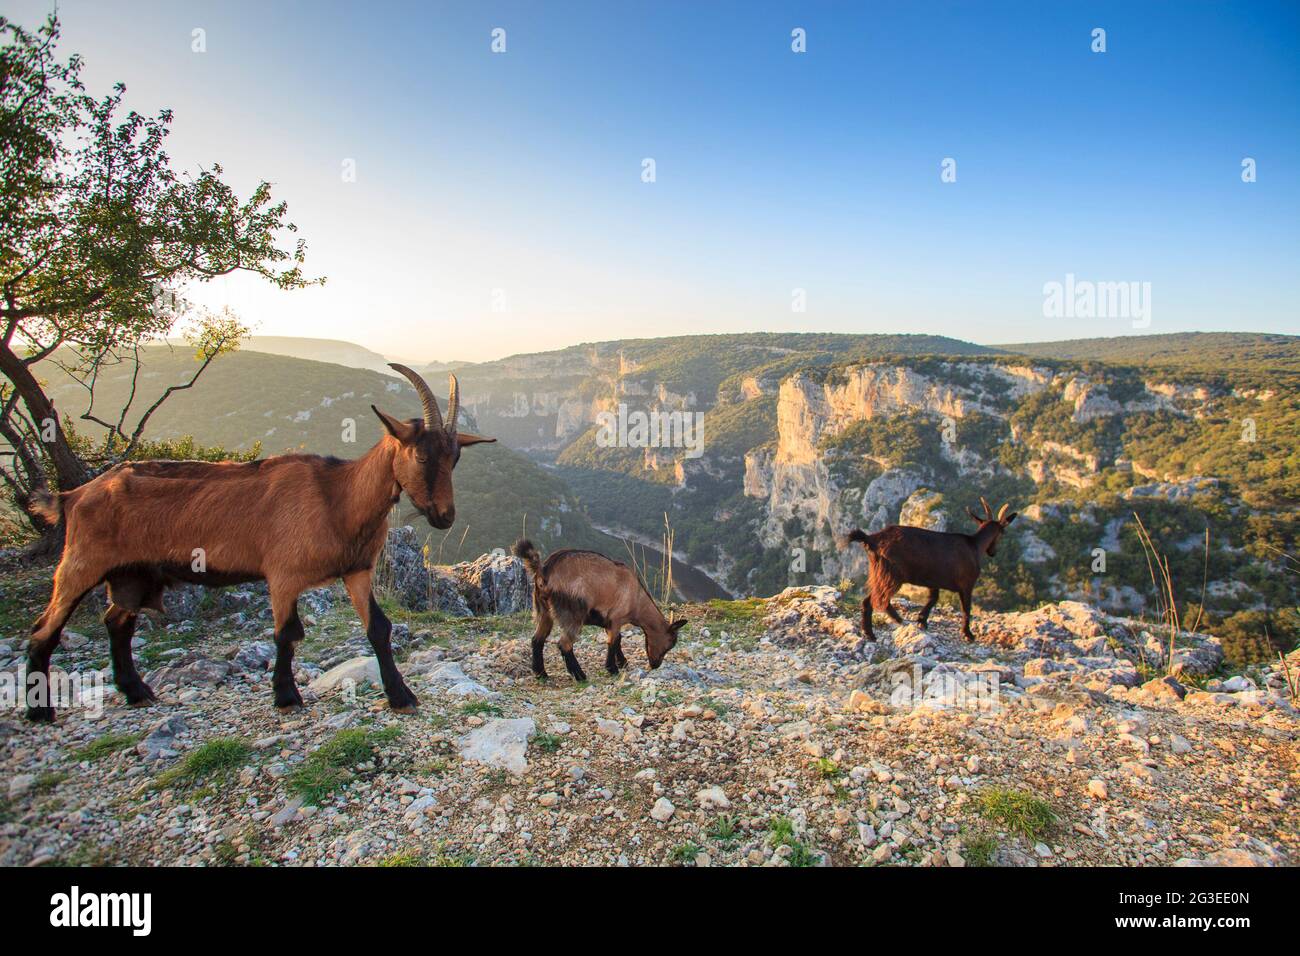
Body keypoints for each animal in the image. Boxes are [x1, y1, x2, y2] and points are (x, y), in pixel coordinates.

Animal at [25, 361, 491, 723]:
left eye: (455, 457)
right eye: (422, 454)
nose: (445, 516)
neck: (338, 498)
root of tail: (74, 495)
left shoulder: (357, 571)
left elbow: (378, 627)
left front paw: (401, 696)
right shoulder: (282, 575)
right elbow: (287, 633)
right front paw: (286, 697)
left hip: (135, 574)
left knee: (116, 623)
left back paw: (136, 691)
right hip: (82, 561)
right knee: (45, 627)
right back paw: (39, 710)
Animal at [509, 541, 686, 686]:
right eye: (669, 644)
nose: (655, 665)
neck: (637, 598)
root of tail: (544, 571)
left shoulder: (608, 621)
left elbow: (618, 640)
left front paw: (622, 662)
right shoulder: (616, 618)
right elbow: (613, 641)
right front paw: (612, 668)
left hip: (544, 611)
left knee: (537, 640)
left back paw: (541, 674)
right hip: (573, 612)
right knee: (564, 644)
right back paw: (580, 675)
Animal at [842, 502, 1013, 642]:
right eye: (1002, 533)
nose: (993, 552)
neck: (974, 546)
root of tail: (871, 539)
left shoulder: (934, 581)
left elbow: (933, 599)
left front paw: (921, 620)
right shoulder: (966, 585)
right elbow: (966, 609)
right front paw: (968, 634)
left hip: (881, 574)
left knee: (873, 600)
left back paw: (886, 625)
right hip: (890, 575)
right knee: (875, 600)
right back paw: (875, 631)